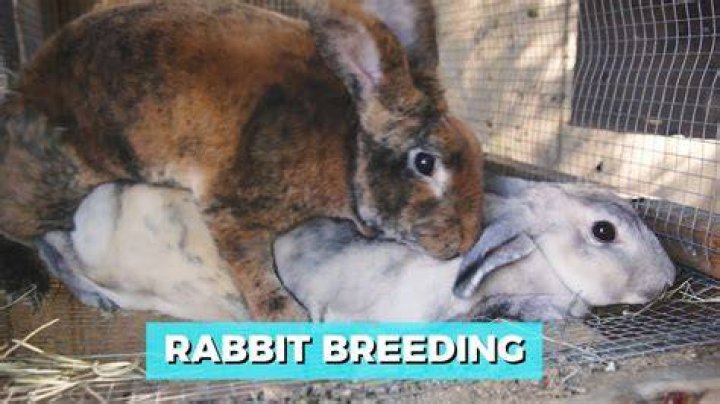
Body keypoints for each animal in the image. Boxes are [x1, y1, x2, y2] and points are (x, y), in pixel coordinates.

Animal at [0, 0, 484, 320]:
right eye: (426, 164)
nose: (462, 243)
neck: (347, 149)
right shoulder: (236, 215)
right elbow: (255, 274)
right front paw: (286, 318)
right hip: (64, 185)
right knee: (39, 240)